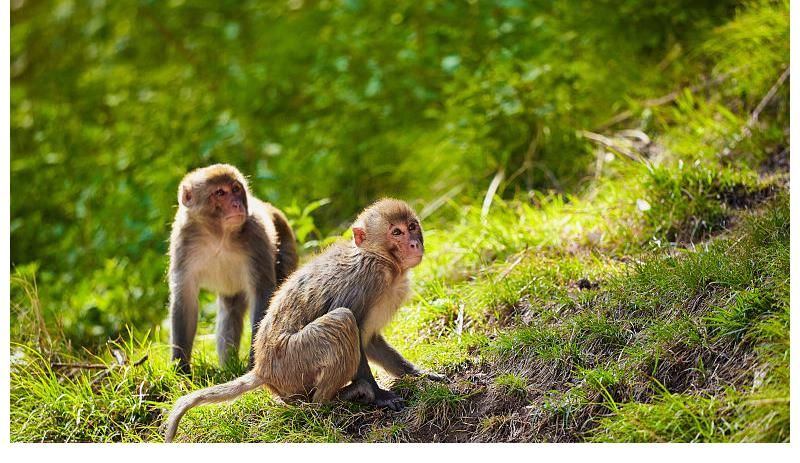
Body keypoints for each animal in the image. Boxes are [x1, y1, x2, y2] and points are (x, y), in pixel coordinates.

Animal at [166, 198, 446, 442]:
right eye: (396, 232)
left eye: (412, 226)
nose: (414, 243)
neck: (383, 261)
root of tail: (262, 369)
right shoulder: (367, 279)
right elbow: (355, 328)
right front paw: (379, 395)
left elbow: (368, 341)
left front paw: (417, 374)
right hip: (292, 360)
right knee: (342, 321)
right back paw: (334, 400)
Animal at [168, 163, 296, 374]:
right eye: (220, 192)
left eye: (236, 189)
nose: (237, 204)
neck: (219, 235)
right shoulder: (183, 240)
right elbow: (185, 298)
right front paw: (181, 368)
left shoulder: (256, 234)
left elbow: (262, 294)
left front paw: (254, 363)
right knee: (230, 311)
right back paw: (228, 366)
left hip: (286, 249)